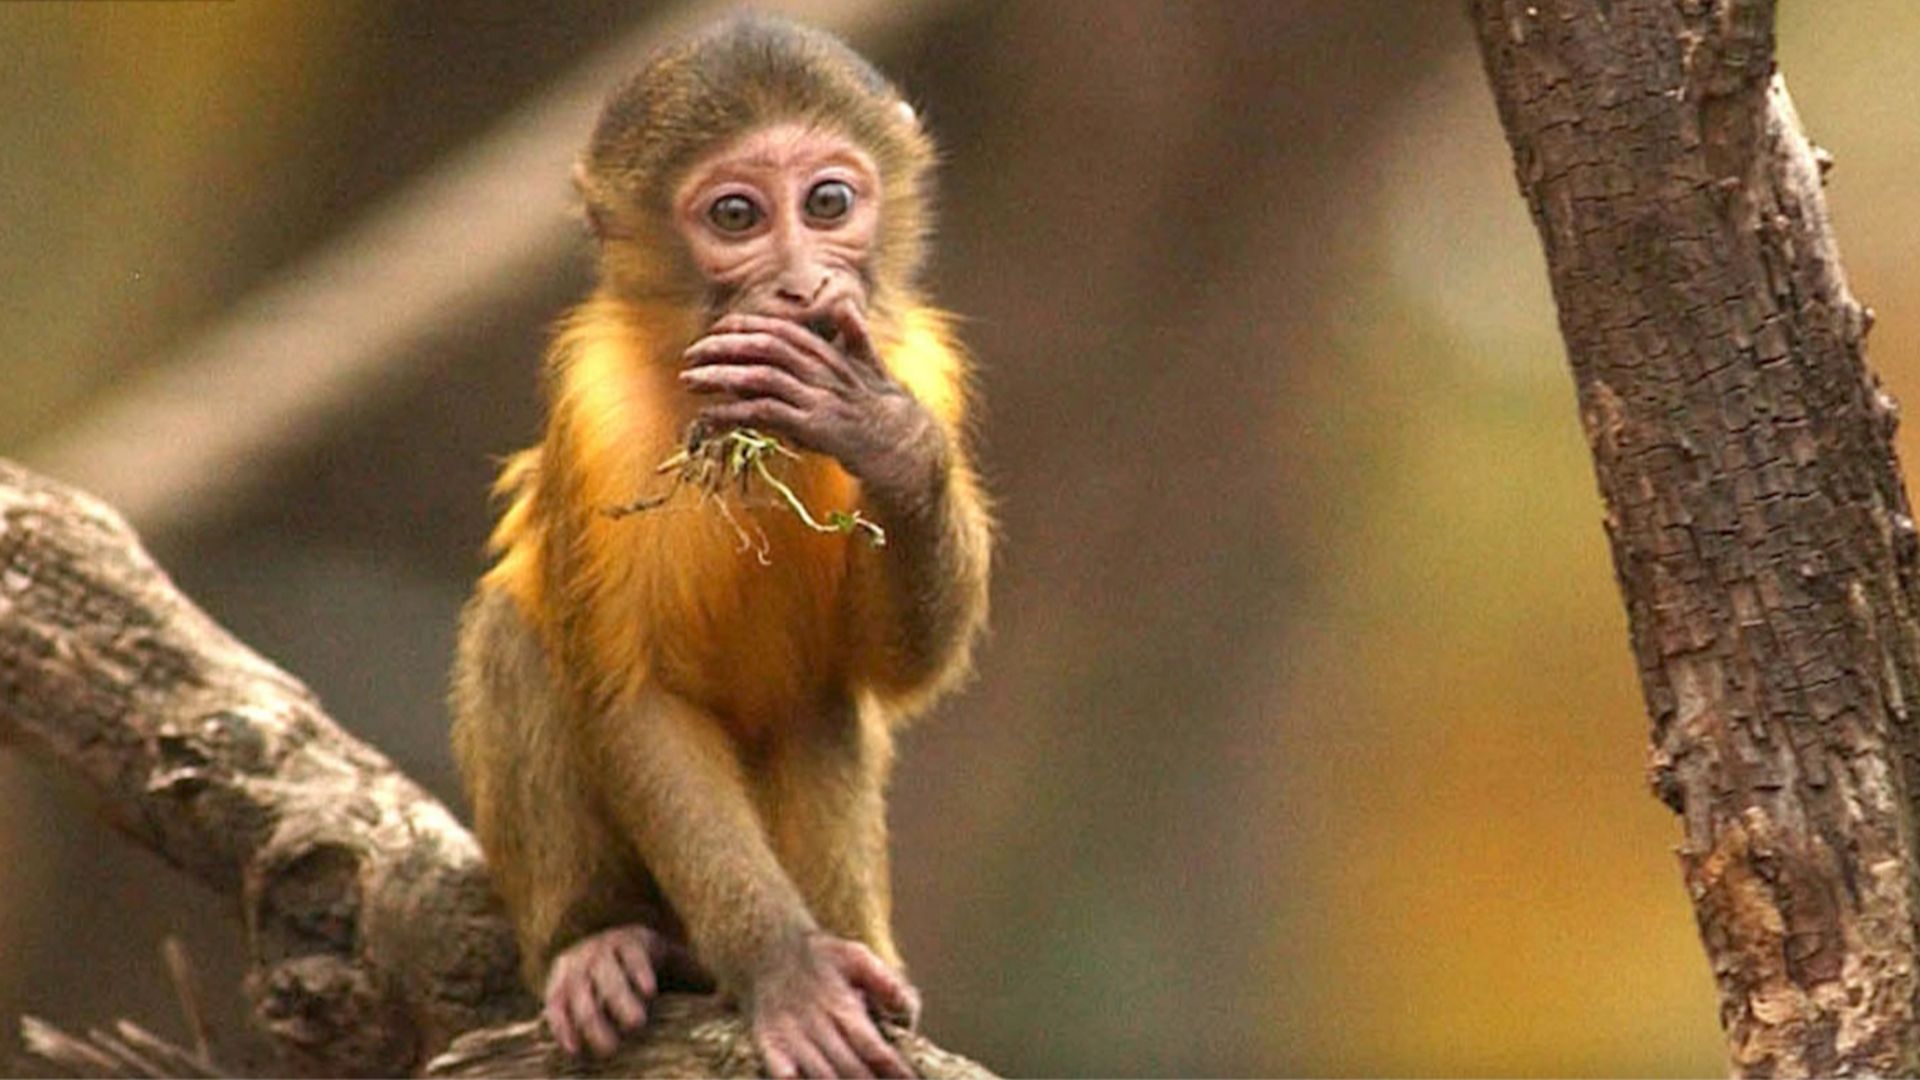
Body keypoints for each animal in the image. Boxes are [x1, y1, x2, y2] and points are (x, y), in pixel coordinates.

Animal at [449, 16, 991, 1080]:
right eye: (737, 216)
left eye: (828, 203)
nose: (800, 283)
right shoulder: (599, 407)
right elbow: (631, 699)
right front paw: (787, 973)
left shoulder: (921, 362)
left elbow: (897, 666)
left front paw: (879, 434)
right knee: (516, 634)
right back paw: (601, 941)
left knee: (824, 704)